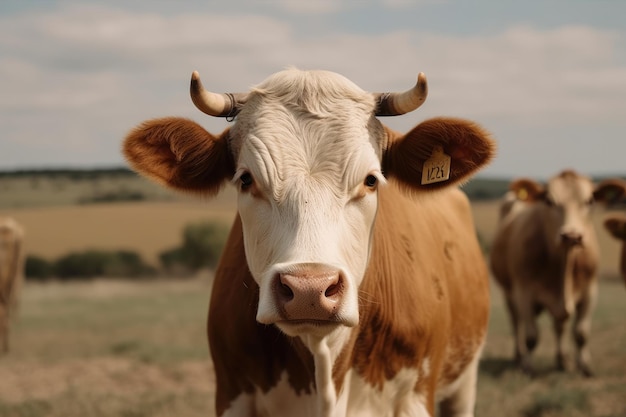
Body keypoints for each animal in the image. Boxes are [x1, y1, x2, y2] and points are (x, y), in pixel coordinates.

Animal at [120, 69, 492, 416]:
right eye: (246, 179)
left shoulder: (416, 396)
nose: (308, 290)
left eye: (371, 180)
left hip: (465, 381)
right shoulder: (231, 393)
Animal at [488, 170, 624, 376]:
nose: (571, 235)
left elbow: (581, 333)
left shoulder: (590, 290)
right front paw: (528, 367)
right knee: (516, 324)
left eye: (589, 201)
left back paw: (562, 360)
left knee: (559, 326)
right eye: (549, 201)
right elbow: (531, 335)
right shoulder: (524, 292)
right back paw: (518, 357)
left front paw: (584, 366)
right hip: (508, 293)